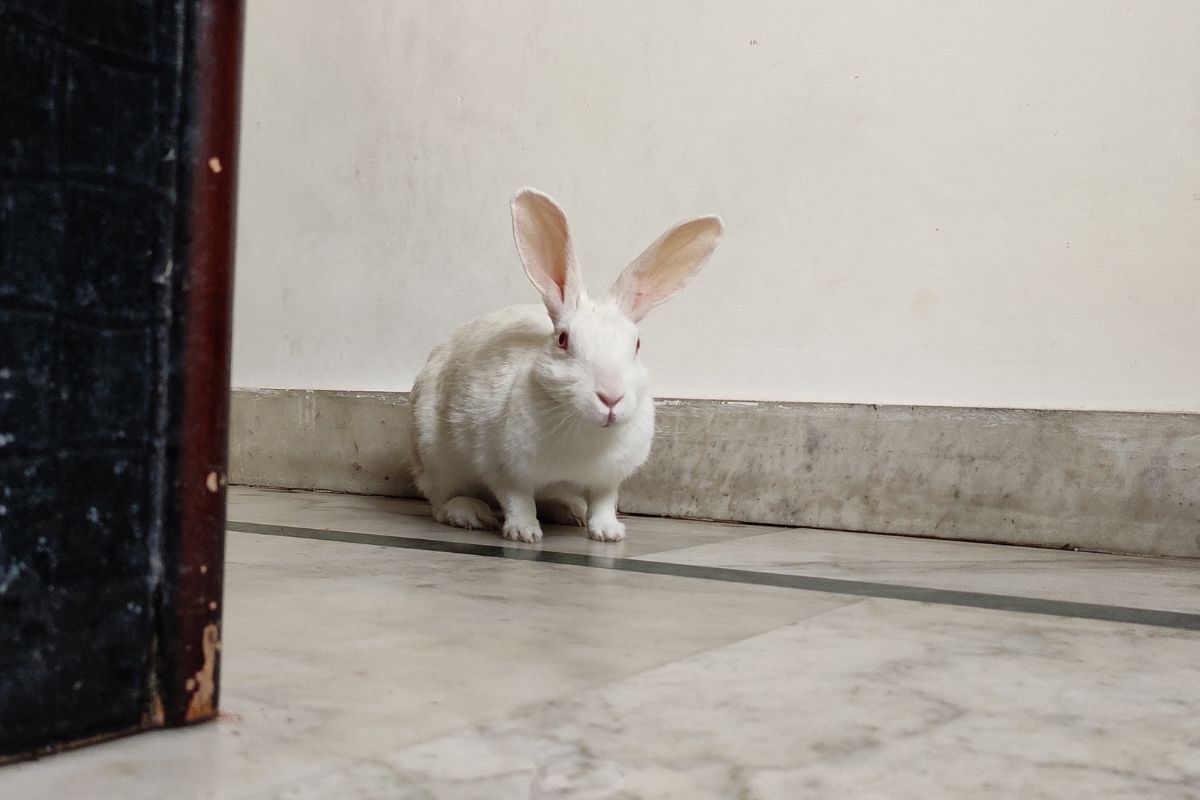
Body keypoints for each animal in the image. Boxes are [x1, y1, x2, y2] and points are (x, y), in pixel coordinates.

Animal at [409, 188, 723, 543]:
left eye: (637, 345)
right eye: (563, 340)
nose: (611, 398)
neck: (584, 431)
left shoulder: (607, 480)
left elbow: (603, 503)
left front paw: (609, 533)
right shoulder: (504, 469)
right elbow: (518, 501)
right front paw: (525, 533)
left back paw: (569, 511)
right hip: (437, 458)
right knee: (441, 501)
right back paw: (472, 513)